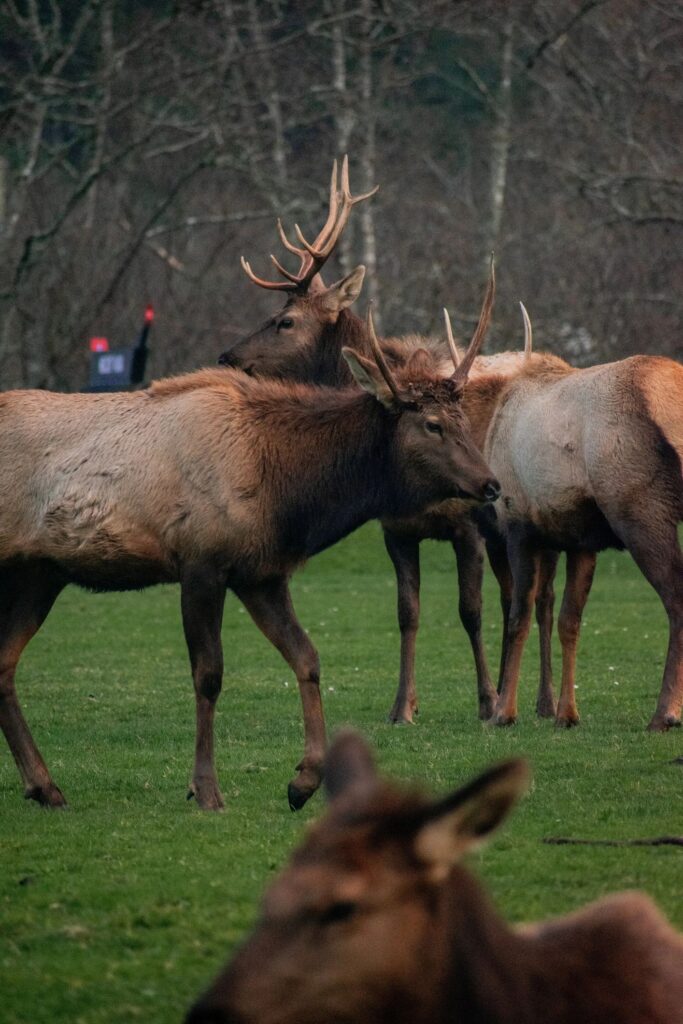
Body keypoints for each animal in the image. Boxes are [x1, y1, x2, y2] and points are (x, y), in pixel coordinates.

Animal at [0, 291, 501, 812]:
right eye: (432, 424)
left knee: (3, 664)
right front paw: (205, 789)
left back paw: (44, 786)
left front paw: (304, 780)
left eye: (464, 420)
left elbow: (307, 657)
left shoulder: (261, 573)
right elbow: (209, 675)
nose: (491, 484)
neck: (285, 491)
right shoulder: (201, 563)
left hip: (39, 573)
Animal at [220, 157, 559, 726]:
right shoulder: (396, 530)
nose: (228, 357)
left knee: (545, 598)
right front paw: (404, 706)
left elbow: (470, 612)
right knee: (518, 594)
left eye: (284, 320)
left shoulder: (467, 526)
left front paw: (486, 701)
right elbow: (408, 614)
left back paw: (545, 701)